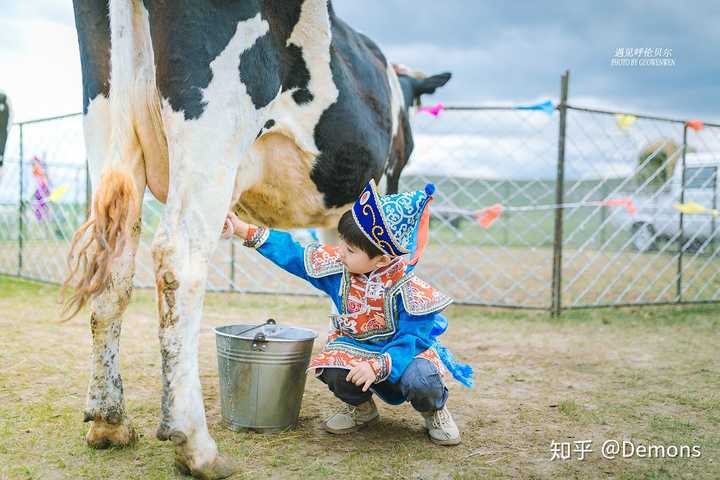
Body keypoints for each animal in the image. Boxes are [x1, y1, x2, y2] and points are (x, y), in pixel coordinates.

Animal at [67, 1, 450, 478]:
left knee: (113, 267)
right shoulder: (381, 182)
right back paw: (196, 447)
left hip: (108, 125)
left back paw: (109, 423)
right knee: (178, 259)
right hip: (215, 126)